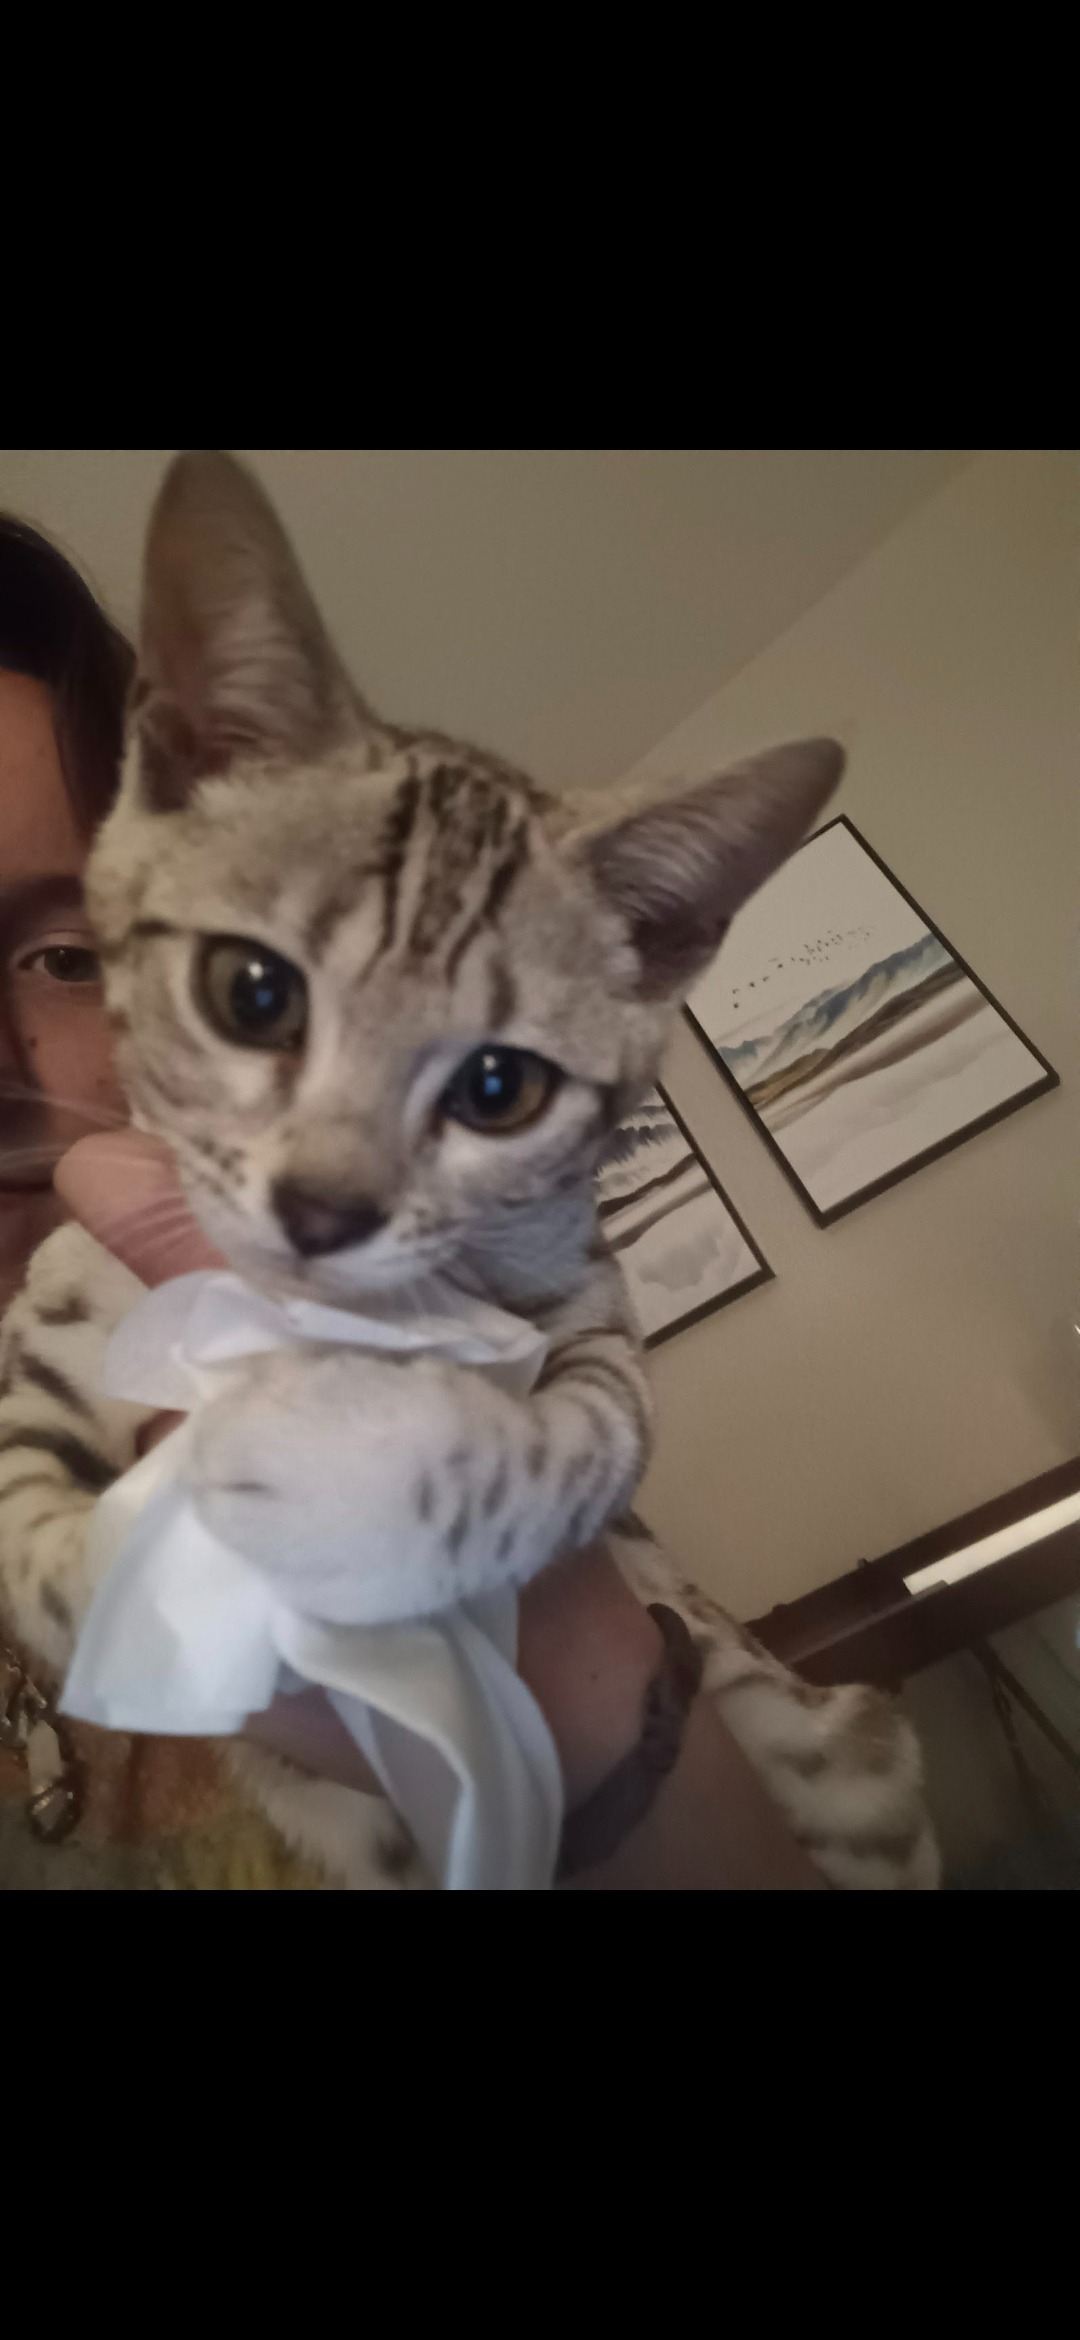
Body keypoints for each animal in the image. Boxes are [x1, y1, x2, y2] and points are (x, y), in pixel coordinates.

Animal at [0, 451, 939, 1889]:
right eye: (252, 991)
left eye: (500, 1088)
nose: (327, 1208)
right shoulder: (41, 1347)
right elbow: (43, 1548)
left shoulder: (591, 1317)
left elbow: (577, 1442)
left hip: (858, 1760)